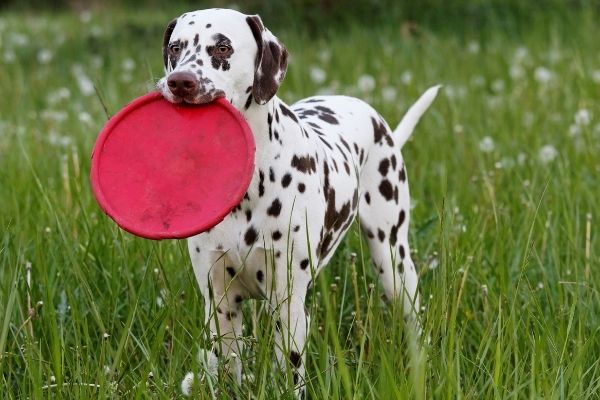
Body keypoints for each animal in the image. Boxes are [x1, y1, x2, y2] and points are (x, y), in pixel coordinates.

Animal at [156, 7, 440, 396]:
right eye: (175, 47)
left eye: (222, 48)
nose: (180, 82)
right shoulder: (220, 304)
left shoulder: (288, 304)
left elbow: (290, 372)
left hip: (393, 262)